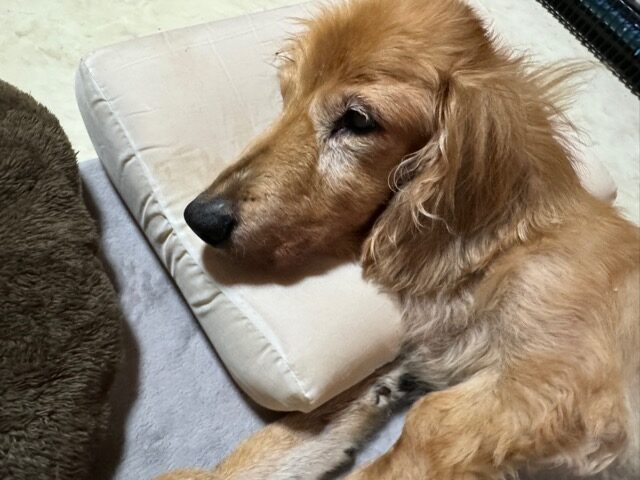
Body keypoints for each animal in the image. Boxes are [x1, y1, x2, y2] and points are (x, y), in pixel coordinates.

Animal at [166, 0, 640, 478]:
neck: (503, 251)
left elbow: (427, 421)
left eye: (358, 120)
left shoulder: (558, 377)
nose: (200, 218)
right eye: (287, 95)